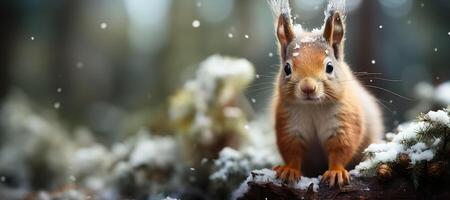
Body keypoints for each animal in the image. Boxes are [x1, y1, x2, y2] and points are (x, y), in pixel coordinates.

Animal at [268, 0, 384, 188]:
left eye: (329, 67)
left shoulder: (345, 120)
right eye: (287, 68)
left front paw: (336, 172)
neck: (313, 107)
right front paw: (290, 169)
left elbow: (341, 148)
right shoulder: (289, 124)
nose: (308, 88)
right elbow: (292, 150)